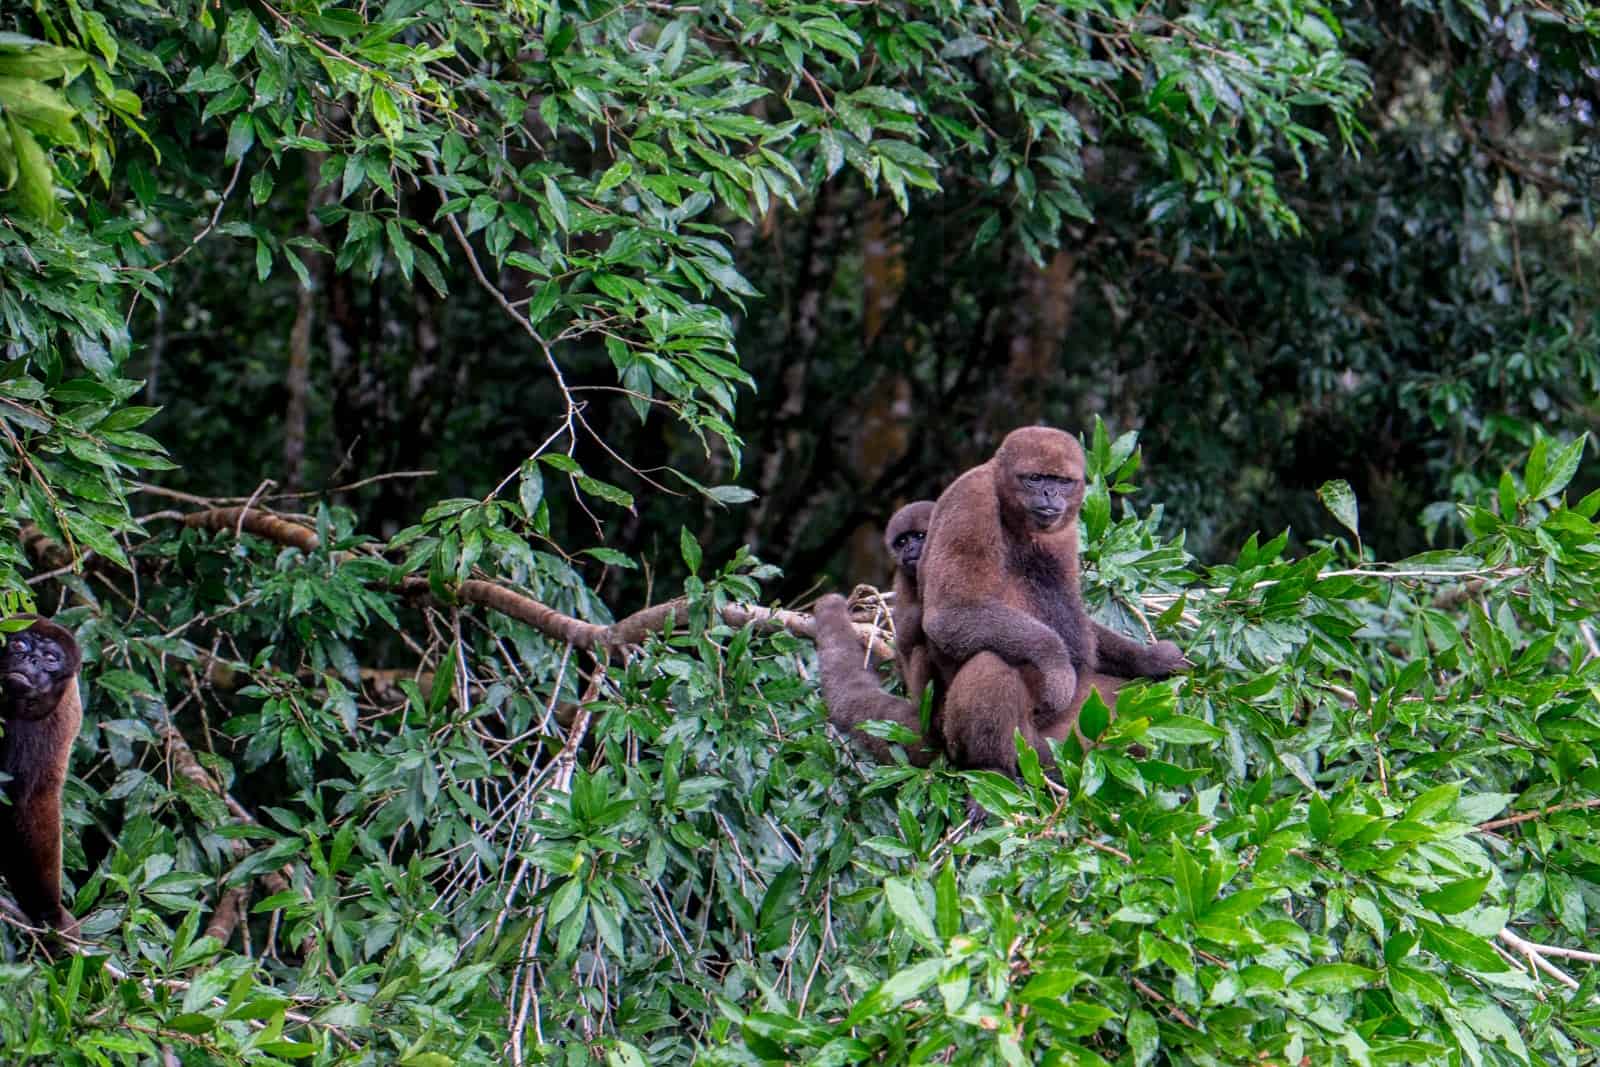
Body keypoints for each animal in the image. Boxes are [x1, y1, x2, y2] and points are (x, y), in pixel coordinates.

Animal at [0, 617, 82, 934]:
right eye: (19, 643)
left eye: (50, 658)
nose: (30, 658)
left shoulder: (59, 720)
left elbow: (31, 803)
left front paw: (48, 910)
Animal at [921, 425, 1184, 777]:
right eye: (1035, 478)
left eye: (1061, 481)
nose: (1049, 494)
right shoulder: (971, 500)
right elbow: (949, 613)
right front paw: (1057, 666)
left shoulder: (1067, 527)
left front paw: (1151, 659)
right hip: (1024, 744)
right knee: (991, 661)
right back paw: (991, 770)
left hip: (1070, 742)